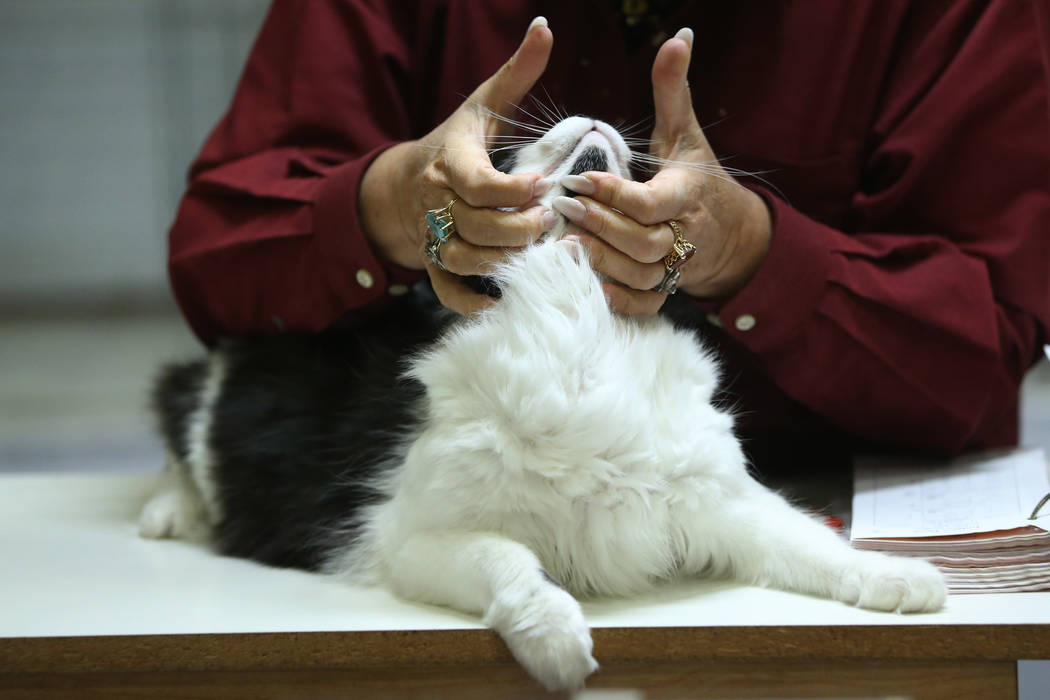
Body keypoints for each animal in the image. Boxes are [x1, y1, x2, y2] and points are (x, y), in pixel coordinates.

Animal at [141, 114, 953, 688]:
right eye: (503, 157)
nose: (592, 117)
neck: (577, 301)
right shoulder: (414, 538)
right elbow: (511, 563)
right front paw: (555, 638)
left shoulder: (719, 500)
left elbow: (812, 542)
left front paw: (900, 578)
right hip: (204, 397)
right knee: (180, 436)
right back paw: (167, 512)